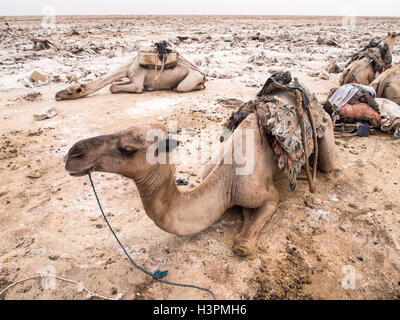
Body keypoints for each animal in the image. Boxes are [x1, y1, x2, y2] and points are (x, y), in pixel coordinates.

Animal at [55, 53, 206, 100]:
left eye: (70, 92)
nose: (57, 95)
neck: (127, 68)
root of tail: (202, 74)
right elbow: (112, 86)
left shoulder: (137, 81)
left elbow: (135, 88)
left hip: (192, 77)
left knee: (182, 87)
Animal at [64, 112, 336, 258]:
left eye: (128, 149)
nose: (73, 154)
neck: (226, 181)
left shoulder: (267, 195)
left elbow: (243, 243)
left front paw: (243, 239)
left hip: (326, 135)